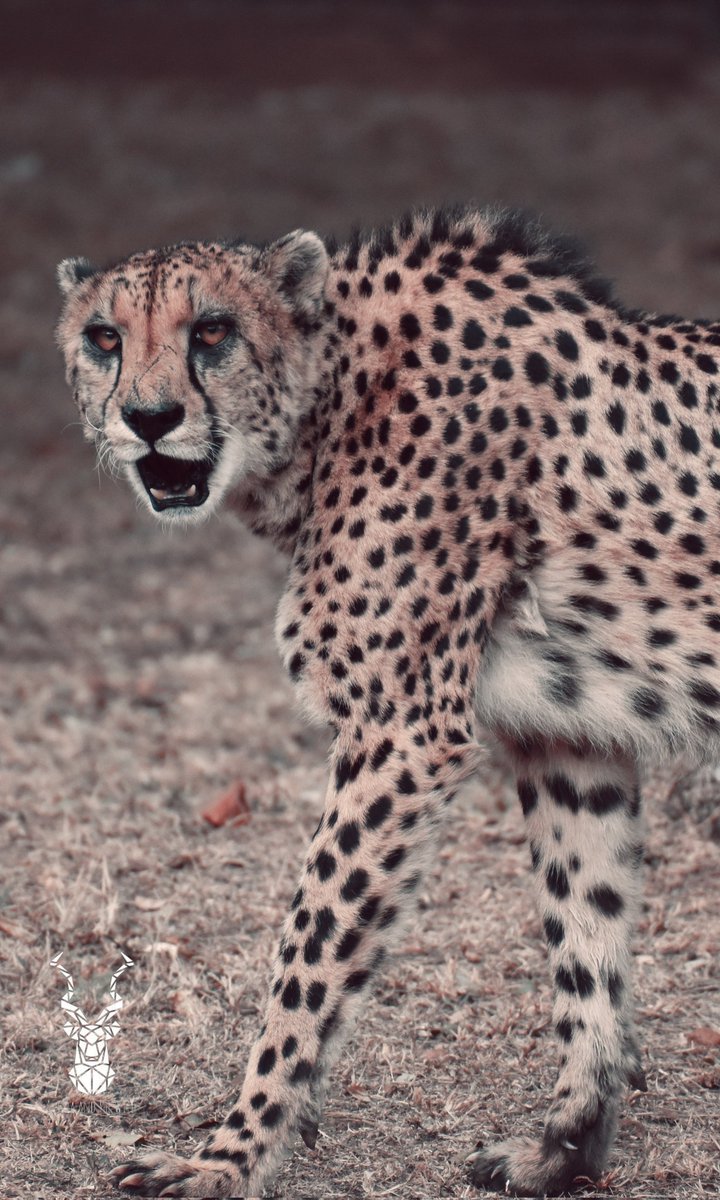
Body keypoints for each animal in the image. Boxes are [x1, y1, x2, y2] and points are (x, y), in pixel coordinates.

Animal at [56, 204, 720, 1197]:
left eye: (211, 332)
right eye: (105, 338)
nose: (149, 418)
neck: (333, 404)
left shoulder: (400, 735)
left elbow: (307, 958)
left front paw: (229, 1157)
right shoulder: (565, 735)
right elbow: (585, 927)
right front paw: (568, 1143)